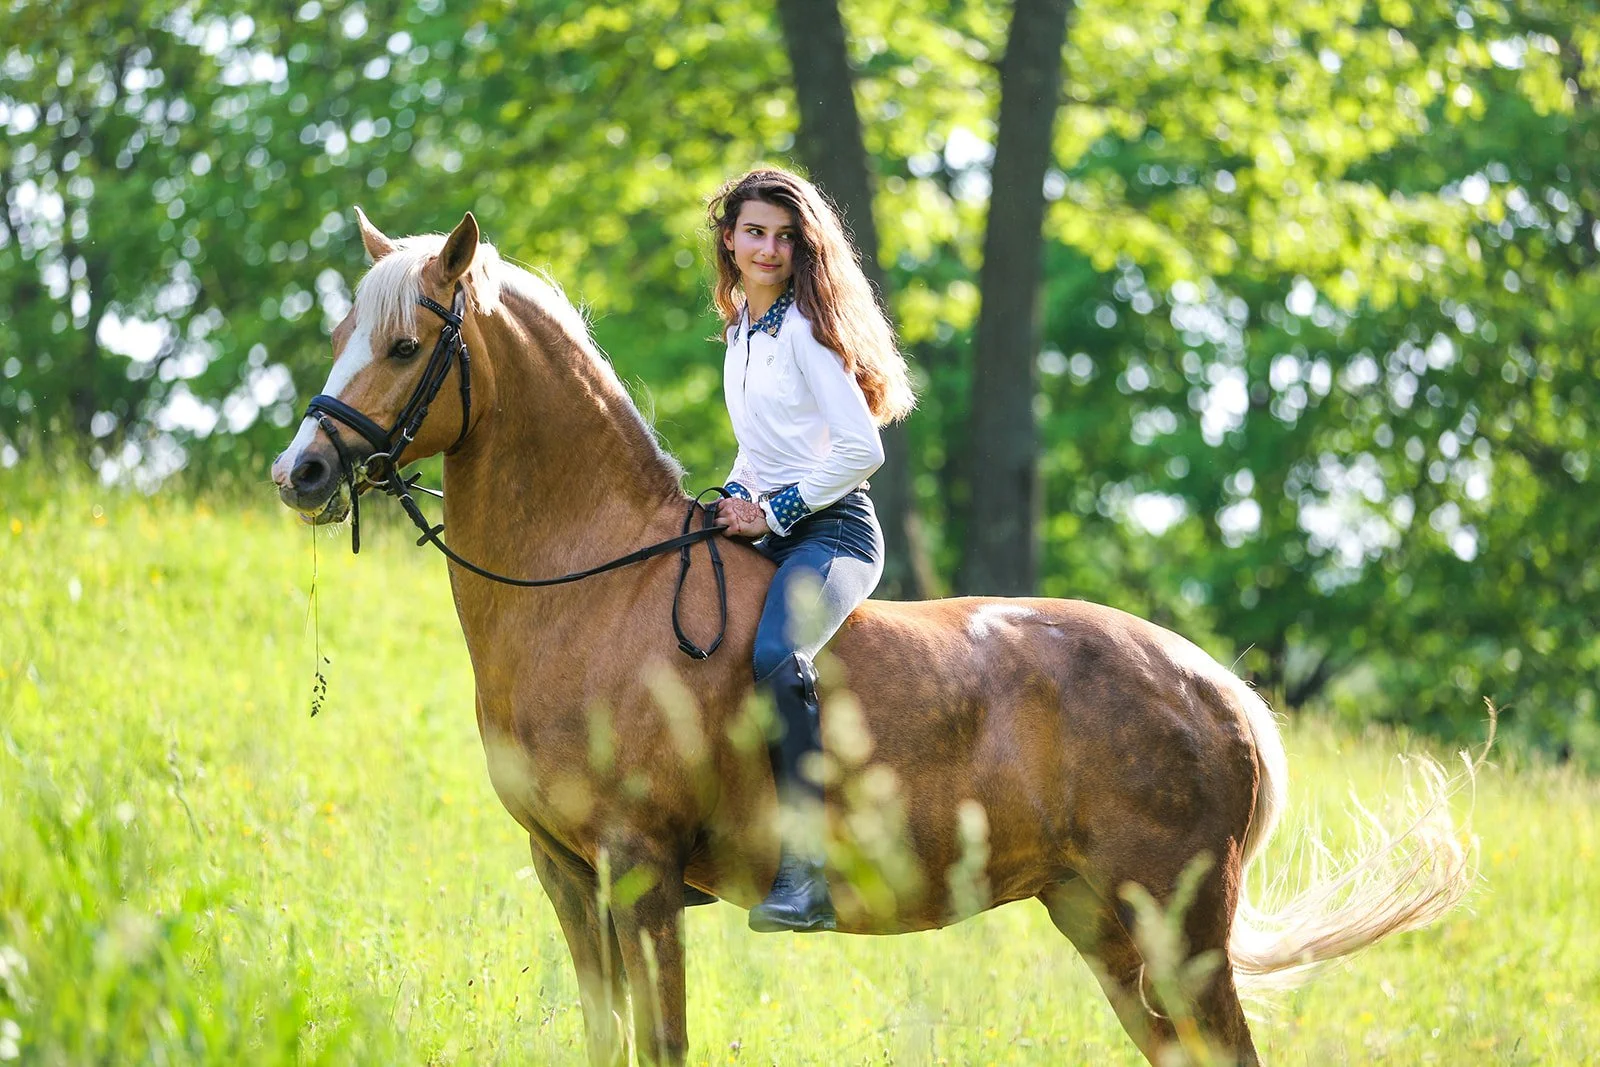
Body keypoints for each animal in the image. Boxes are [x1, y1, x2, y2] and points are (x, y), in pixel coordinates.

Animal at [270, 210, 1474, 1066]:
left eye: (406, 344)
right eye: (341, 336)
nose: (303, 472)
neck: (593, 584)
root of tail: (1219, 689)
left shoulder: (639, 873)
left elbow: (660, 1042)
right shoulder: (567, 874)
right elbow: (604, 1038)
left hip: (1179, 937)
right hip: (1104, 926)